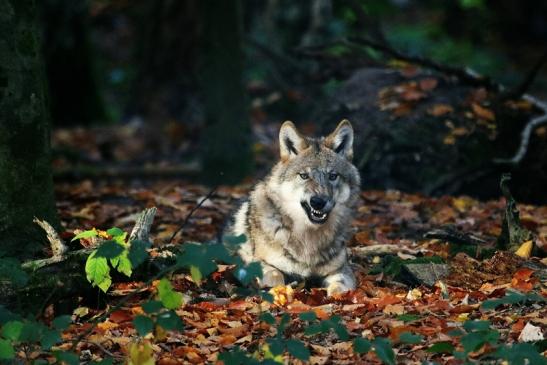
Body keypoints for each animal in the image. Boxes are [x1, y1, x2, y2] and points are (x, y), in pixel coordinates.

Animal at [230, 120, 362, 296]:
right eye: (304, 176)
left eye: (332, 176)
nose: (318, 202)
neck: (308, 238)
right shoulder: (257, 264)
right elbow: (274, 275)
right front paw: (278, 292)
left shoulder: (341, 270)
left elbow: (339, 287)